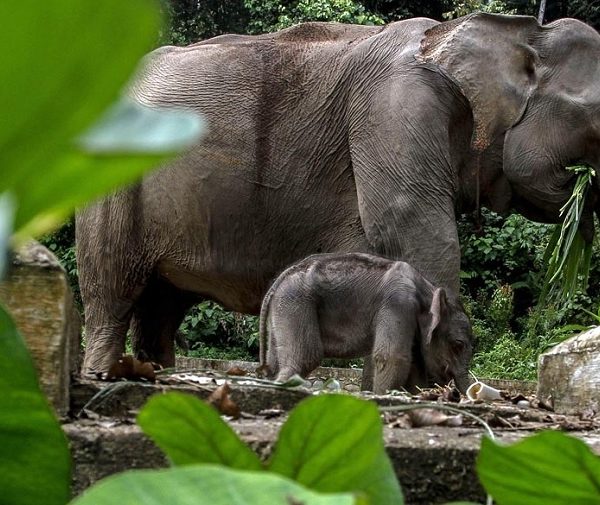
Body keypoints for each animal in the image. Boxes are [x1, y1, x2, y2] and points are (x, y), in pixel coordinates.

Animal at [76, 12, 600, 374]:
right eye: (596, 122)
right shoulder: (395, 112)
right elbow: (417, 233)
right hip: (108, 185)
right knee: (111, 290)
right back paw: (105, 373)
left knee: (162, 307)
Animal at [258, 252, 474, 394]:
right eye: (458, 345)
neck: (428, 289)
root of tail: (279, 281)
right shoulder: (398, 304)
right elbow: (392, 357)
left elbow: (415, 365)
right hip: (296, 303)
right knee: (306, 356)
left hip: (282, 309)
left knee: (276, 361)